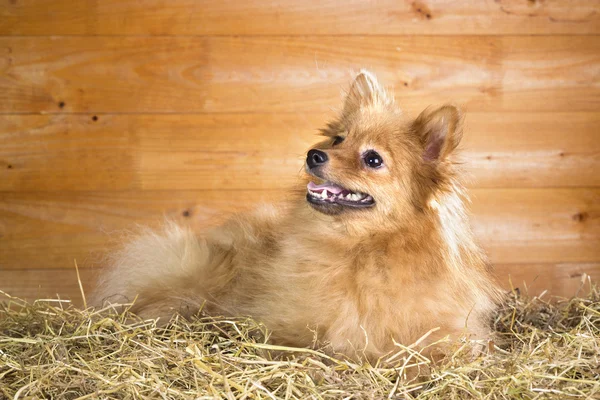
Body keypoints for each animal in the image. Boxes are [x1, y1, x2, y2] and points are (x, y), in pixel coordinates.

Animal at [92, 70, 502, 364]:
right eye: (338, 140)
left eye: (373, 159)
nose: (313, 155)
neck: (360, 251)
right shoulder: (283, 326)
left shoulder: (442, 335)